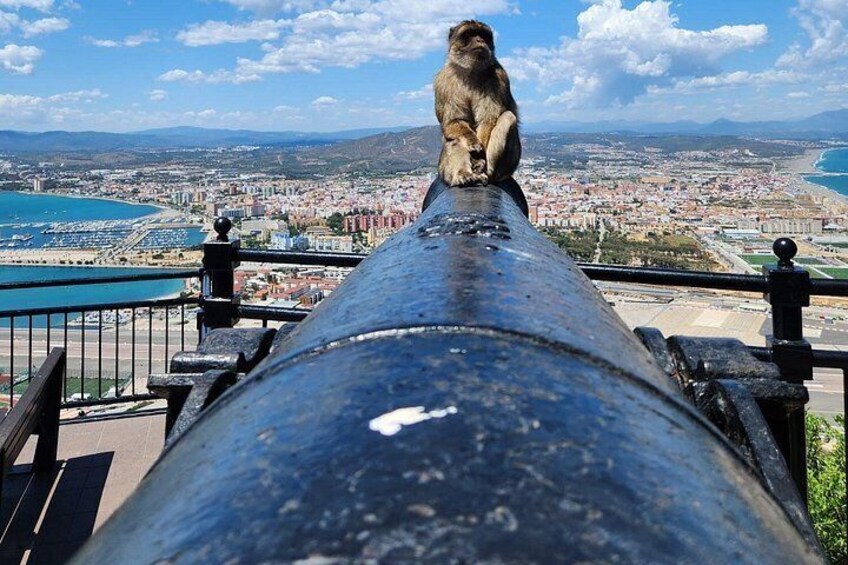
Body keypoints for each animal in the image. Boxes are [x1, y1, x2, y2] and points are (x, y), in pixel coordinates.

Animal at [434, 20, 521, 187]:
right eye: (469, 34)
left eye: (484, 35)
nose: (480, 40)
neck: (471, 71)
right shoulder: (444, 80)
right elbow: (454, 121)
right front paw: (472, 141)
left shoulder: (498, 76)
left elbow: (487, 120)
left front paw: (480, 157)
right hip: (444, 170)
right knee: (453, 138)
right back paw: (464, 174)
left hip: (507, 166)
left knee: (508, 117)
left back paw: (483, 169)